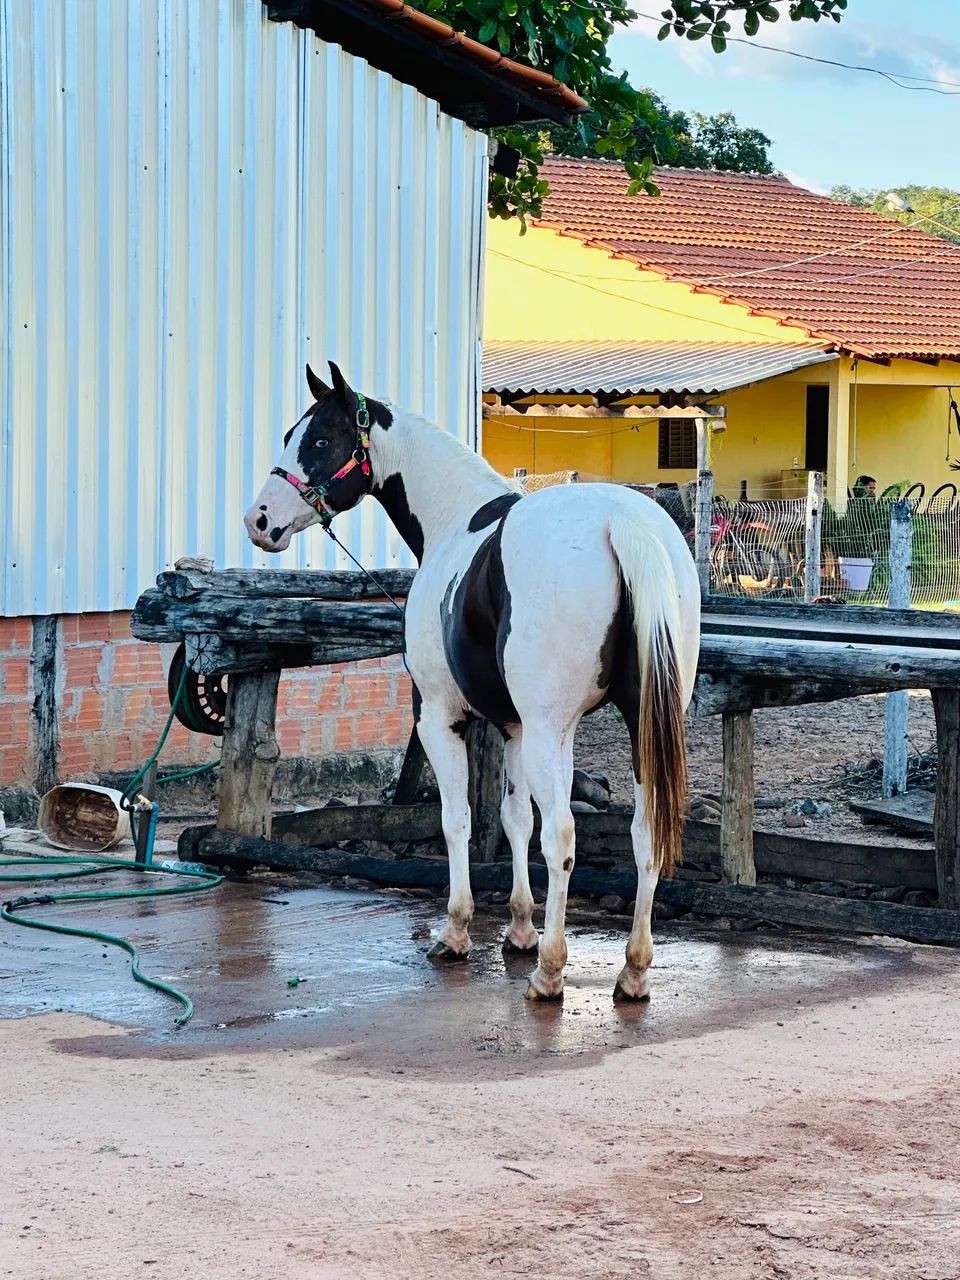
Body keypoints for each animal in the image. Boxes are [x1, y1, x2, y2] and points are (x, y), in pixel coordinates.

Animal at [244, 363, 701, 1001]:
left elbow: (458, 820)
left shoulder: (442, 718)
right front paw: (519, 927)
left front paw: (459, 930)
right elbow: (515, 820)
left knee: (563, 837)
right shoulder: (516, 730)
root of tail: (623, 521)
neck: (456, 522)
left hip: (553, 731)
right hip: (640, 726)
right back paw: (632, 970)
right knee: (642, 831)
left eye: (319, 441)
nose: (259, 520)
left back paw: (551, 972)